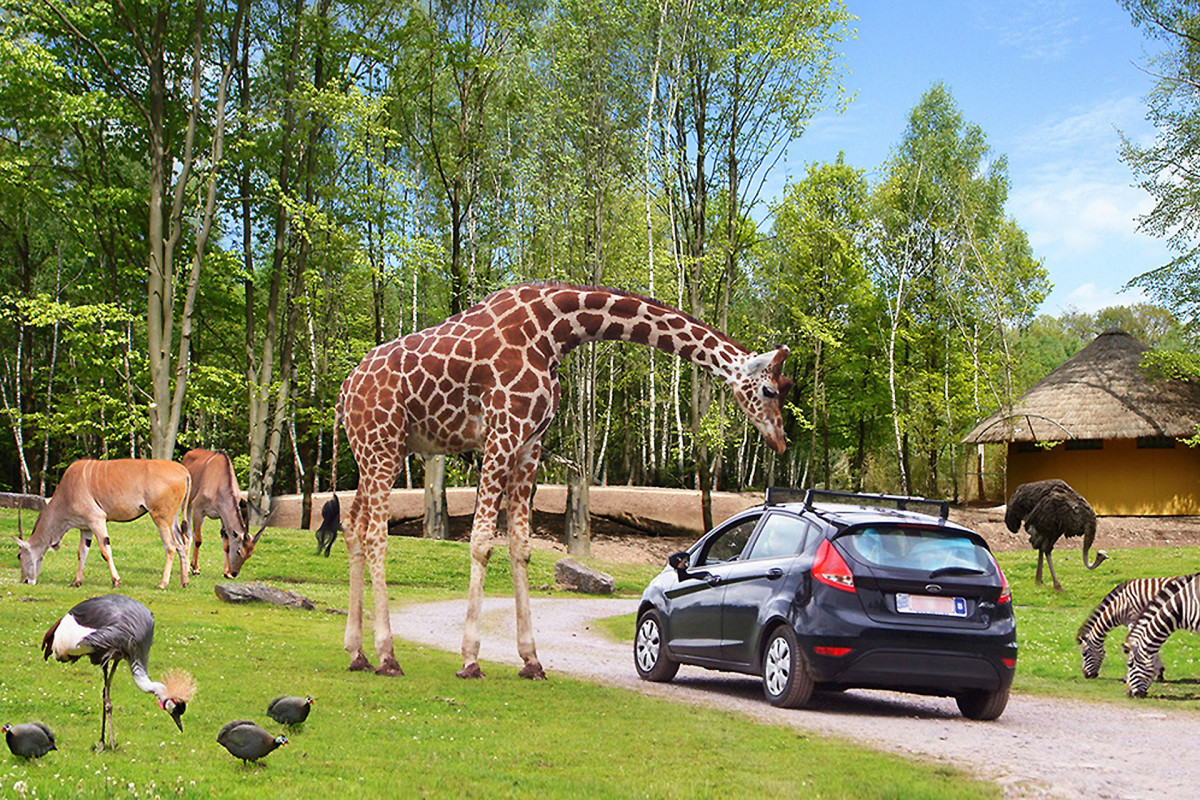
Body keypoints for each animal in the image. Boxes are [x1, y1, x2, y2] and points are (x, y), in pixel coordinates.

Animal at [14, 455, 193, 587]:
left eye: (19, 556)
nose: (25, 581)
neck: (67, 491)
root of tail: (184, 472)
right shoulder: (85, 527)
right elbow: (82, 552)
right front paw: (76, 582)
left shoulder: (97, 520)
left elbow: (105, 550)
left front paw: (116, 581)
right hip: (173, 519)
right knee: (182, 543)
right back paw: (184, 582)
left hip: (161, 518)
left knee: (171, 546)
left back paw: (163, 583)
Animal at [338, 284, 792, 681]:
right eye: (769, 390)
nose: (780, 441)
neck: (555, 331)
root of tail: (346, 390)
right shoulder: (502, 433)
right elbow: (482, 541)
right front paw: (470, 660)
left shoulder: (529, 443)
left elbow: (520, 547)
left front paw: (531, 661)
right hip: (382, 444)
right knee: (376, 534)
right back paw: (387, 656)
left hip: (373, 452)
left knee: (352, 525)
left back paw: (357, 653)